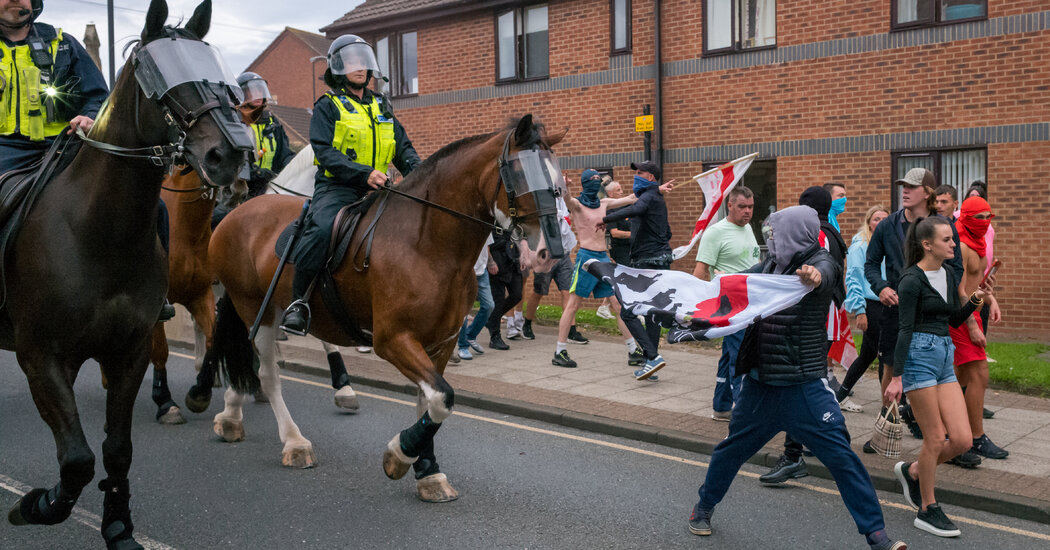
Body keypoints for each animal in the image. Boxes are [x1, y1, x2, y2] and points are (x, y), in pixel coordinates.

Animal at [1, 2, 247, 545]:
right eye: (158, 74)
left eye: (216, 69)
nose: (233, 153)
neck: (97, 231)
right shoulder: (39, 356)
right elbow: (77, 459)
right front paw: (35, 505)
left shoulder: (126, 351)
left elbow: (114, 451)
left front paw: (116, 525)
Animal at [193, 113, 562, 499]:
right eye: (519, 173)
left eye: (557, 179)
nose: (547, 253)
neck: (426, 244)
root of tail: (238, 212)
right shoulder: (393, 339)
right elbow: (442, 399)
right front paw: (400, 454)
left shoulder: (440, 343)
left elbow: (428, 402)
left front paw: (428, 472)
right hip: (257, 309)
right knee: (266, 372)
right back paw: (294, 442)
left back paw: (230, 415)